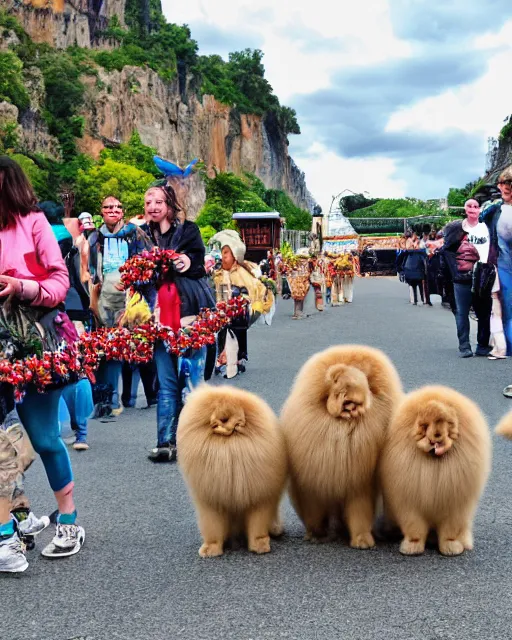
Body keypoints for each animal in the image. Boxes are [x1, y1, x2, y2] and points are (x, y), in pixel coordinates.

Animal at [178, 384, 286, 556]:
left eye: (231, 417)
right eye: (221, 418)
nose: (224, 422)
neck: (229, 450)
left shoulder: (258, 498)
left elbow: (257, 526)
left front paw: (260, 546)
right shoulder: (211, 501)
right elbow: (213, 528)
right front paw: (211, 549)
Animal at [280, 344, 404, 552]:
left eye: (367, 383)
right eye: (342, 388)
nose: (353, 403)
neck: (341, 434)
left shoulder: (359, 481)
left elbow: (359, 513)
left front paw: (362, 541)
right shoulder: (313, 480)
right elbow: (315, 513)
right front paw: (317, 535)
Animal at [380, 384, 492, 556]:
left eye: (446, 423)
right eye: (426, 425)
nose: (437, 435)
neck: (434, 463)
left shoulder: (456, 506)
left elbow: (449, 531)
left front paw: (451, 548)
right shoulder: (409, 503)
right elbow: (415, 528)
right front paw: (412, 547)